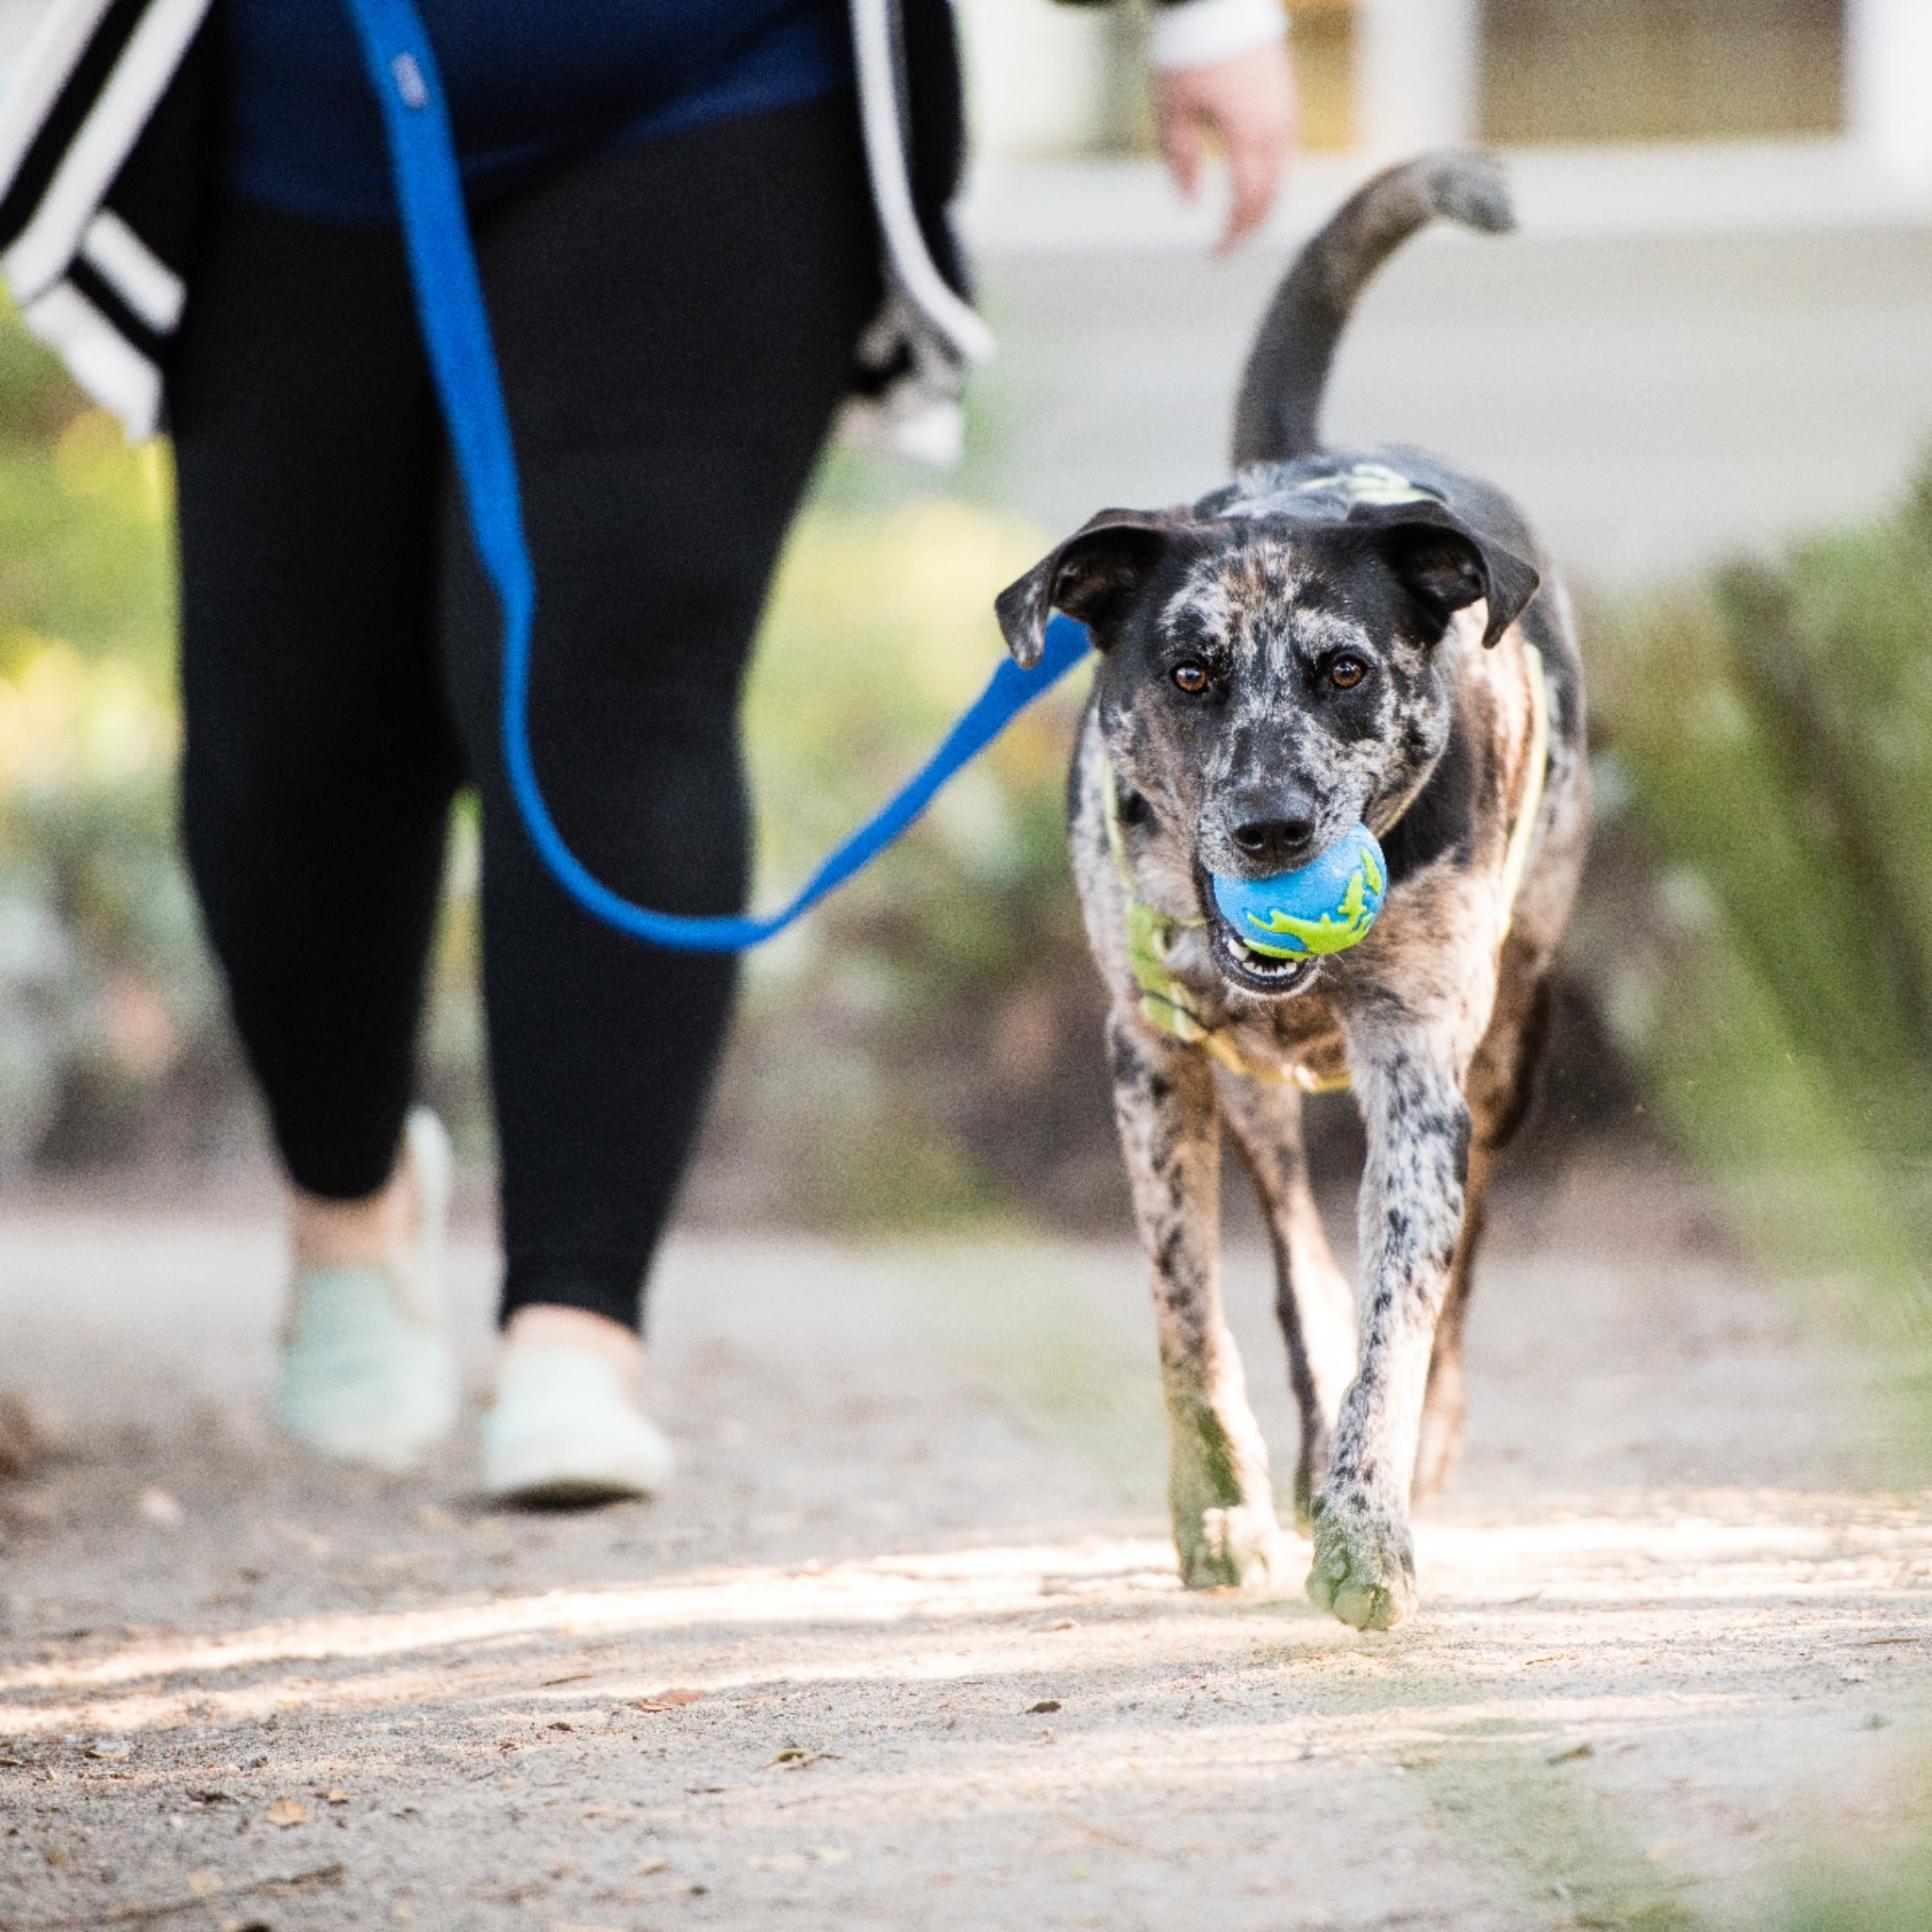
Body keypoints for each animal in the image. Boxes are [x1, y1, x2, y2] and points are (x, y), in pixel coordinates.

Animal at [996, 154, 1584, 1630]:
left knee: (1451, 1266)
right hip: (1248, 1086)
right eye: (1190, 671)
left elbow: (1404, 1307)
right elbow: (1187, 1306)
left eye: (1345, 671)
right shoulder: (1149, 1056)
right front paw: (1218, 1509)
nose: (1269, 831)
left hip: (1511, 1047)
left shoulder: (1422, 1068)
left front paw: (1368, 1518)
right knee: (1300, 1269)